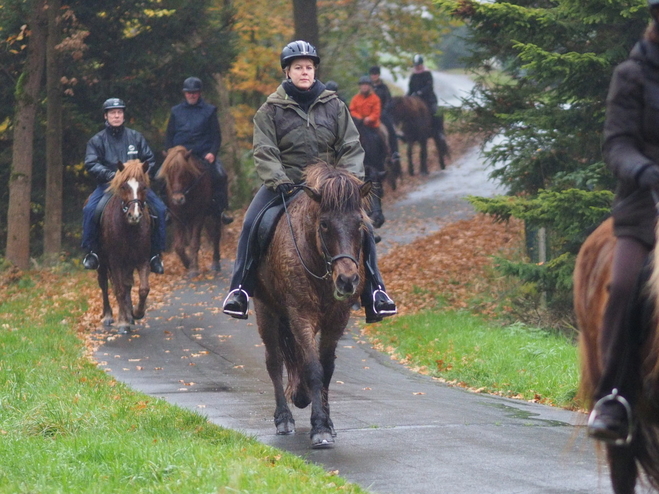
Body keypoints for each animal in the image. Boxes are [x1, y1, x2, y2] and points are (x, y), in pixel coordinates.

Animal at [98, 160, 152, 334]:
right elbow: (119, 289)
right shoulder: (115, 261)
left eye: (143, 187)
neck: (129, 229)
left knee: (127, 285)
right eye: (123, 187)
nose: (134, 216)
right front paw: (122, 323)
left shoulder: (142, 258)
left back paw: (129, 316)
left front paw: (137, 313)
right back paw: (109, 316)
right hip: (102, 262)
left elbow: (143, 289)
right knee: (104, 284)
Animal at [157, 146, 222, 278]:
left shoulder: (199, 216)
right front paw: (187, 263)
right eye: (169, 173)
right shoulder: (177, 217)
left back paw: (216, 263)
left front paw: (194, 269)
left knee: (216, 235)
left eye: (184, 172)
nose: (178, 199)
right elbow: (179, 246)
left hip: (215, 213)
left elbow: (194, 242)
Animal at [255, 161, 374, 448]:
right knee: (274, 361)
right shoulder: (300, 315)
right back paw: (284, 418)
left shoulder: (337, 319)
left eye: (360, 223)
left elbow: (327, 369)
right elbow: (313, 368)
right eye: (325, 224)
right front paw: (319, 428)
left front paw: (327, 423)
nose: (347, 280)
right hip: (265, 310)